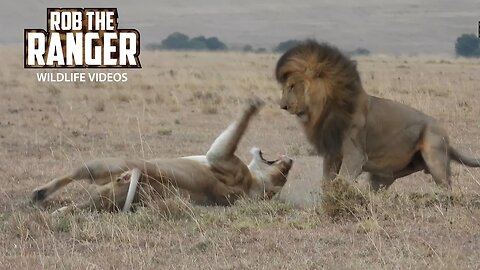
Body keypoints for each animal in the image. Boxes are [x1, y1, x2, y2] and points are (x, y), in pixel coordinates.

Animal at [32, 98, 292, 214]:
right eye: (284, 174)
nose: (290, 161)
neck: (252, 184)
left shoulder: (221, 159)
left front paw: (252, 107)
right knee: (79, 203)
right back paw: (56, 207)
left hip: (112, 164)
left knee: (75, 176)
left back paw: (40, 195)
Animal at [276, 40, 478, 190]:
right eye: (284, 88)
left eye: (292, 86)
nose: (283, 106)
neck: (325, 111)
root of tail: (446, 137)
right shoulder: (332, 154)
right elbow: (327, 183)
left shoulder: (355, 155)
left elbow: (342, 182)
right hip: (383, 176)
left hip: (435, 158)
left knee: (446, 186)